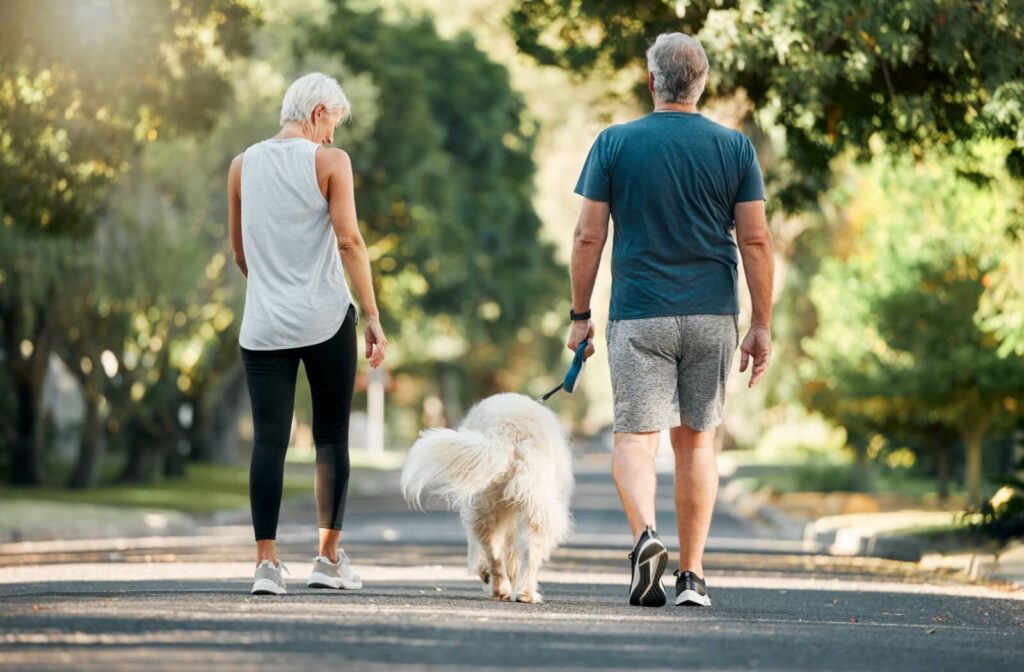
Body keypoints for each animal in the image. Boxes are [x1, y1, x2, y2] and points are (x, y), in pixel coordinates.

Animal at [401, 391, 577, 602]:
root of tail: (509, 429)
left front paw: (491, 574)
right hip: (525, 505)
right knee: (524, 551)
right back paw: (518, 591)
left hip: (494, 504)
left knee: (498, 549)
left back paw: (506, 589)